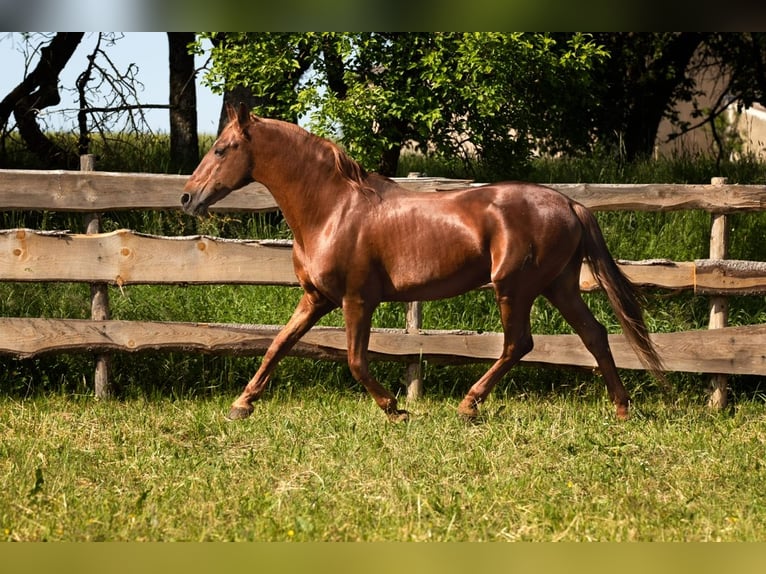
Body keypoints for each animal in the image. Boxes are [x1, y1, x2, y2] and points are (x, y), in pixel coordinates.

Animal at [182, 104, 664, 424]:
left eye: (222, 149)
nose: (187, 197)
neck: (332, 210)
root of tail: (569, 203)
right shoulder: (316, 299)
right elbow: (278, 344)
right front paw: (242, 404)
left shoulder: (357, 300)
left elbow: (355, 360)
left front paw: (394, 408)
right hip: (557, 285)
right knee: (594, 334)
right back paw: (622, 409)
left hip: (515, 288)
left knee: (519, 344)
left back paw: (469, 405)